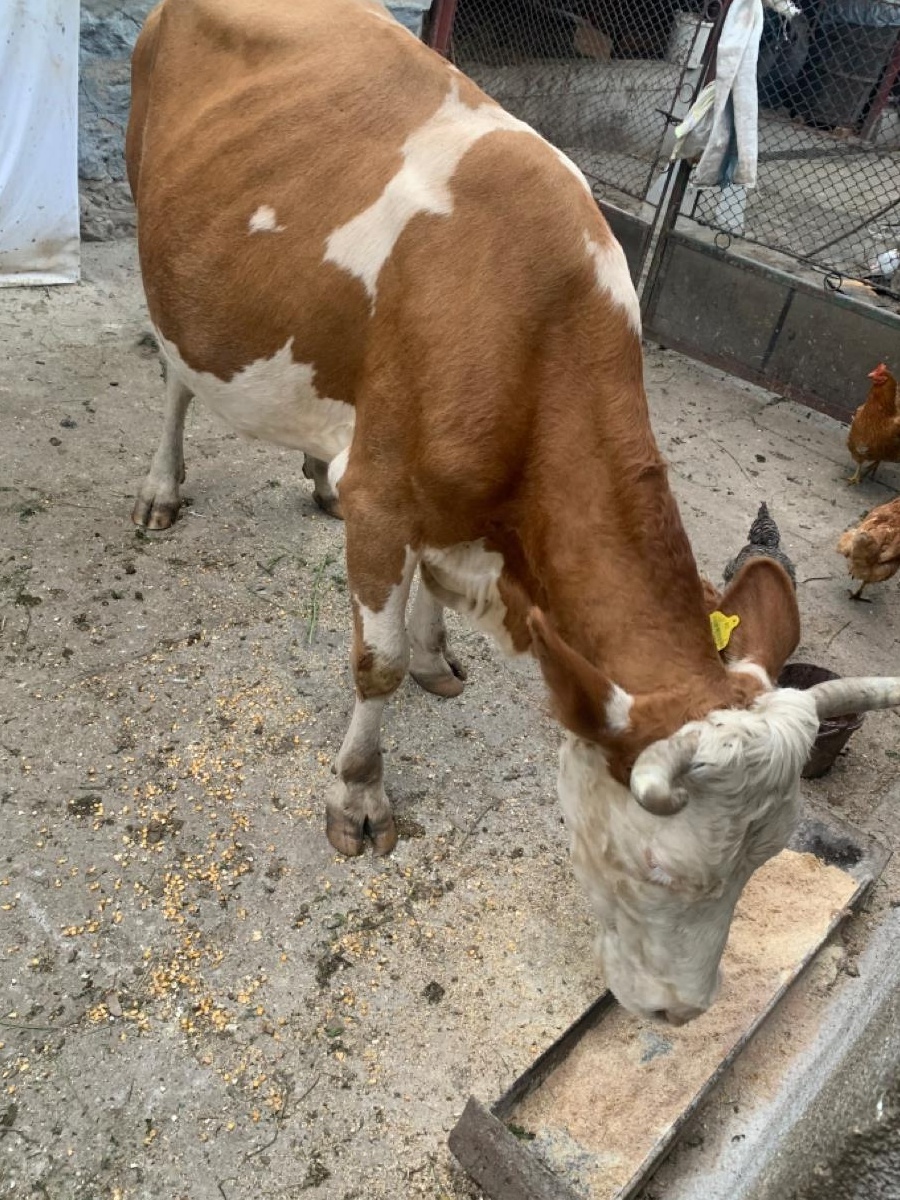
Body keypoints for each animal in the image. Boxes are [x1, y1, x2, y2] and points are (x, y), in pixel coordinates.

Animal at [126, 0, 900, 1024]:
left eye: (768, 855)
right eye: (662, 871)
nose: (683, 1013)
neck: (536, 333)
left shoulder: (447, 506)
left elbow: (428, 601)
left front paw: (433, 654)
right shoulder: (385, 496)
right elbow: (372, 667)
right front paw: (360, 796)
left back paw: (314, 470)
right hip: (168, 247)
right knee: (175, 373)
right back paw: (163, 486)